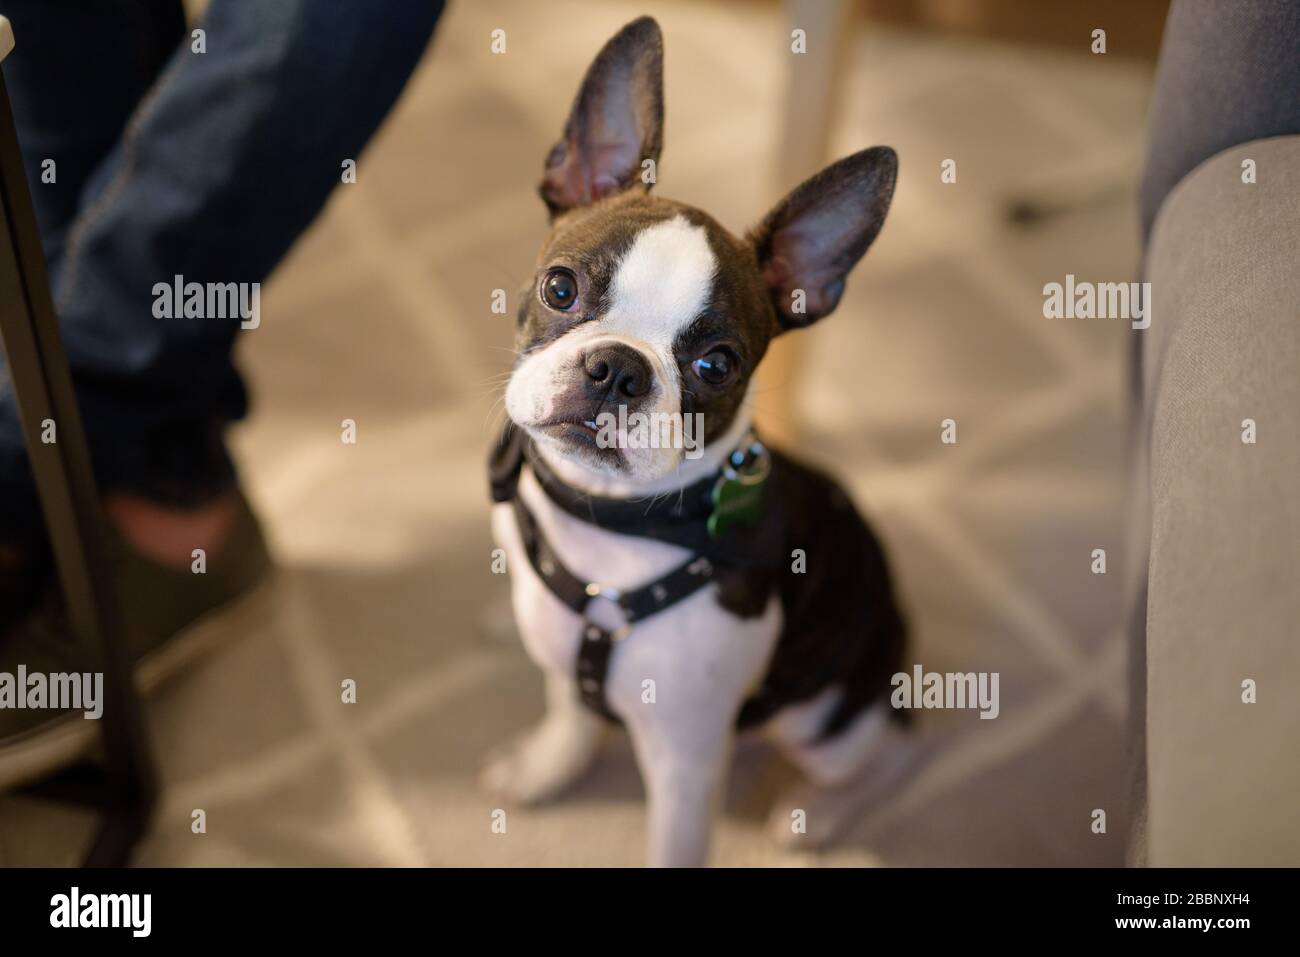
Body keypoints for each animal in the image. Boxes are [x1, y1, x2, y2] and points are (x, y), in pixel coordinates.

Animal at [486, 14, 904, 868]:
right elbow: (570, 714)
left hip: (820, 716)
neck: (608, 526)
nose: (617, 370)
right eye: (559, 287)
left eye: (717, 364)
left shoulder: (684, 760)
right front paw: (547, 767)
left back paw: (820, 815)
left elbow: (675, 842)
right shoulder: (561, 655)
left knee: (885, 752)